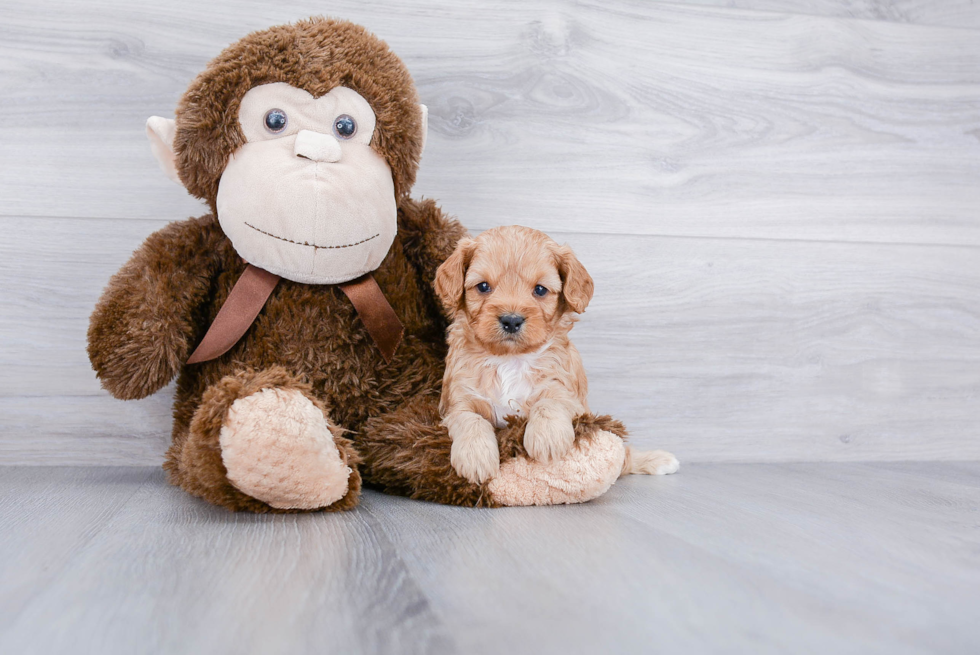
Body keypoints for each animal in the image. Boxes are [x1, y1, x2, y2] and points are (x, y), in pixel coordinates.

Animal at [436, 227, 680, 486]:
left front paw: (547, 438)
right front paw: (476, 457)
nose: (511, 320)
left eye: (540, 290)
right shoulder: (456, 402)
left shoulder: (568, 394)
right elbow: (470, 419)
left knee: (626, 457)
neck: (510, 359)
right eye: (483, 287)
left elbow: (549, 402)